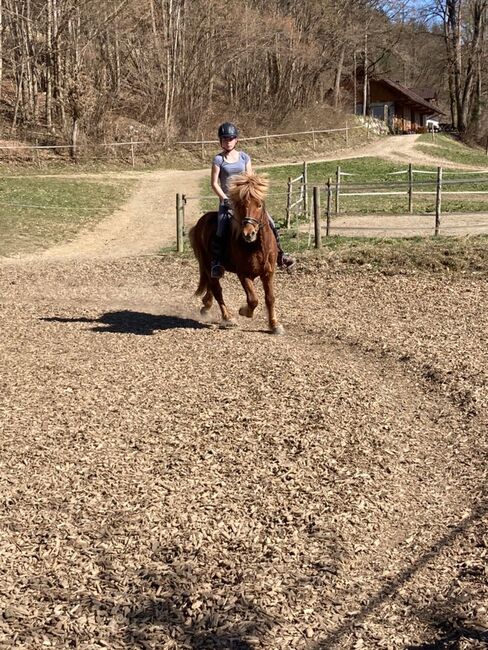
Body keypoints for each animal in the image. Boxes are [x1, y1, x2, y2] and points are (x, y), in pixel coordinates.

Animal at [189, 172, 284, 334]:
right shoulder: (243, 274)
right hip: (208, 265)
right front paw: (244, 311)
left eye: (259, 205)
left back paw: (206, 306)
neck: (256, 247)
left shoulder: (268, 272)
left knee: (211, 287)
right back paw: (228, 318)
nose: (248, 234)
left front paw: (274, 325)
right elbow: (253, 300)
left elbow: (270, 298)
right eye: (241, 205)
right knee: (217, 289)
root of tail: (200, 223)